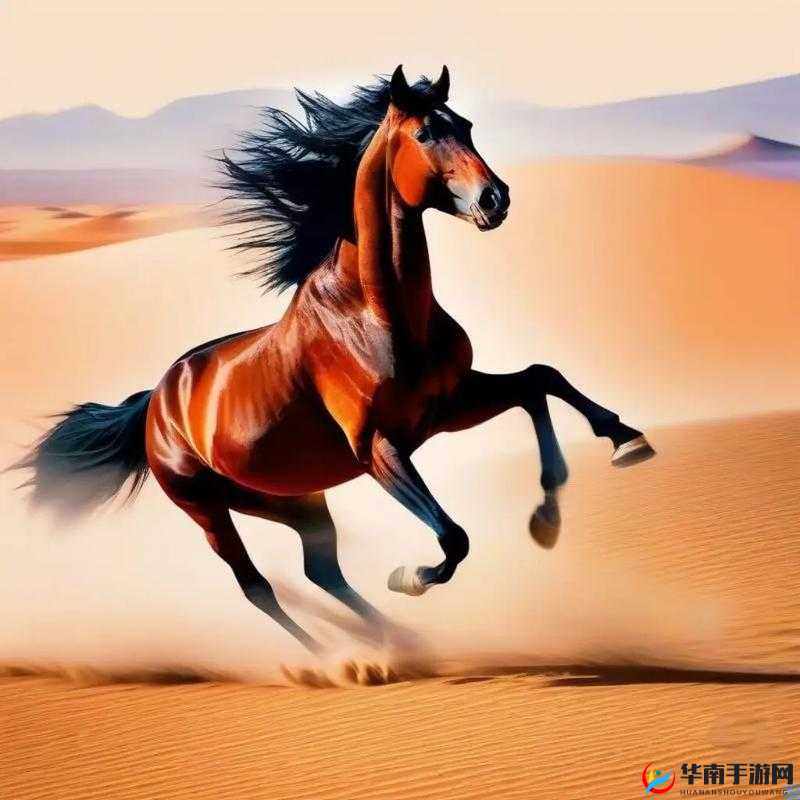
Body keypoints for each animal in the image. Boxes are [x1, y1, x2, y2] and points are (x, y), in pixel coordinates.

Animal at [18, 66, 654, 653]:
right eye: (426, 133)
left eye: (467, 126)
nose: (495, 200)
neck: (377, 312)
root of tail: (157, 399)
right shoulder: (379, 448)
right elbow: (454, 538)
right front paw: (411, 576)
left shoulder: (448, 405)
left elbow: (537, 379)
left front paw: (606, 459)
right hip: (206, 508)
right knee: (257, 586)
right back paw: (337, 660)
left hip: (288, 499)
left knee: (320, 570)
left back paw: (400, 643)